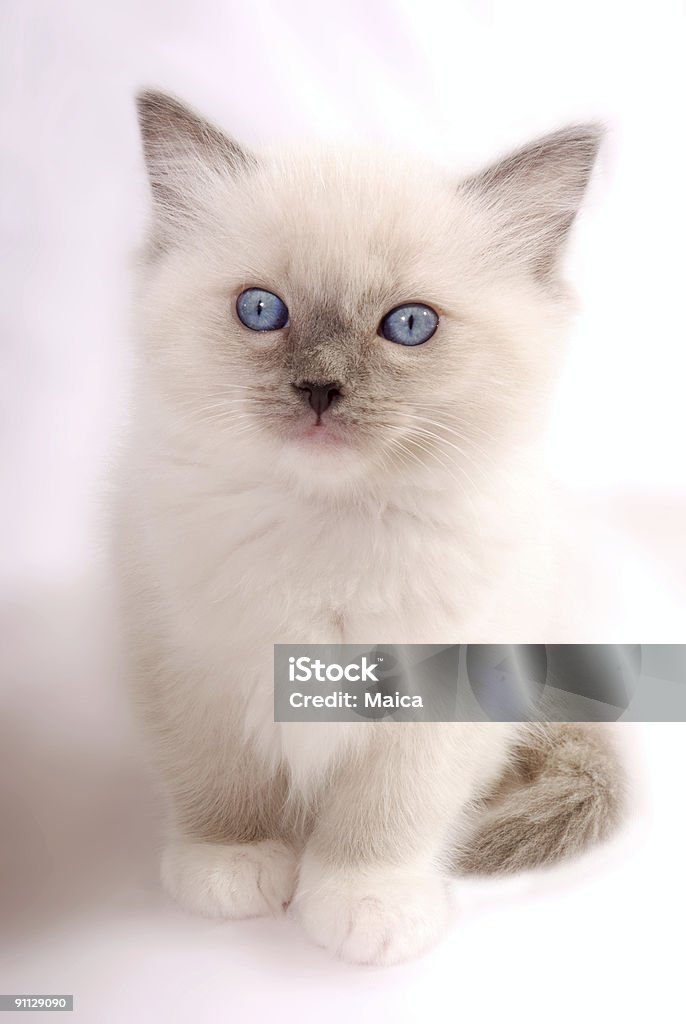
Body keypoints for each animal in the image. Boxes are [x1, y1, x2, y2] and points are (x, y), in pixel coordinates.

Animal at [114, 92, 630, 962]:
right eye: (262, 310)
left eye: (410, 325)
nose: (320, 389)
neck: (330, 528)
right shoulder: (193, 664)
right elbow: (221, 784)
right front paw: (234, 865)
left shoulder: (439, 688)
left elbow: (386, 816)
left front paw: (366, 902)